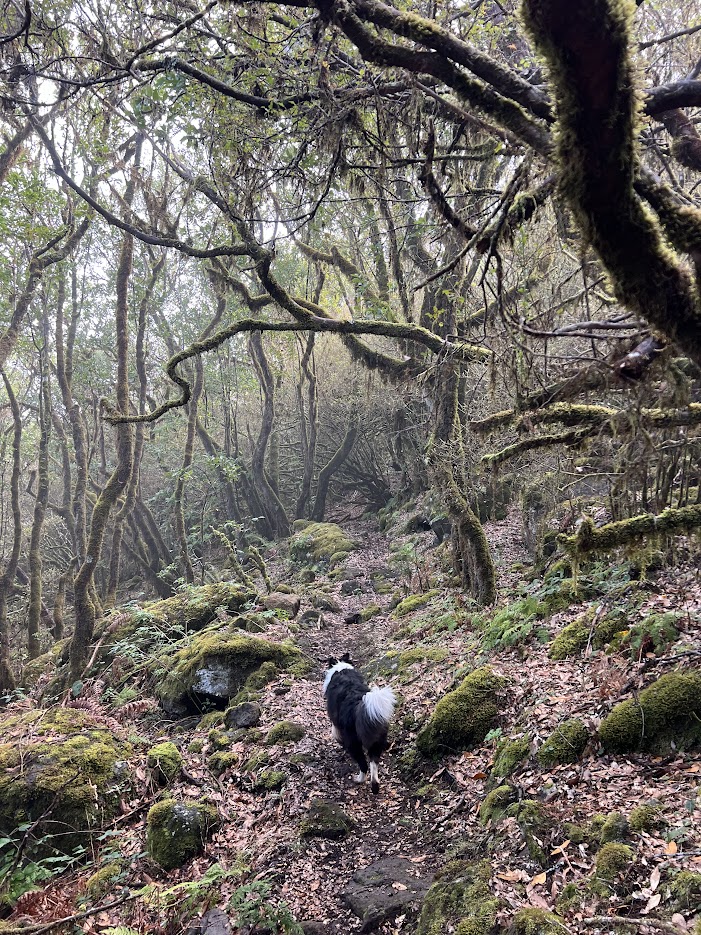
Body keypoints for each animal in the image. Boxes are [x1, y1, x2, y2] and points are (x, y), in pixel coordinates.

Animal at [322, 656, 394, 792]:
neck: (341, 669)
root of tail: (358, 703)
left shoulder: (335, 722)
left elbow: (335, 733)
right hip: (377, 738)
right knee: (373, 763)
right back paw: (375, 787)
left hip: (353, 742)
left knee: (363, 764)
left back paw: (359, 779)